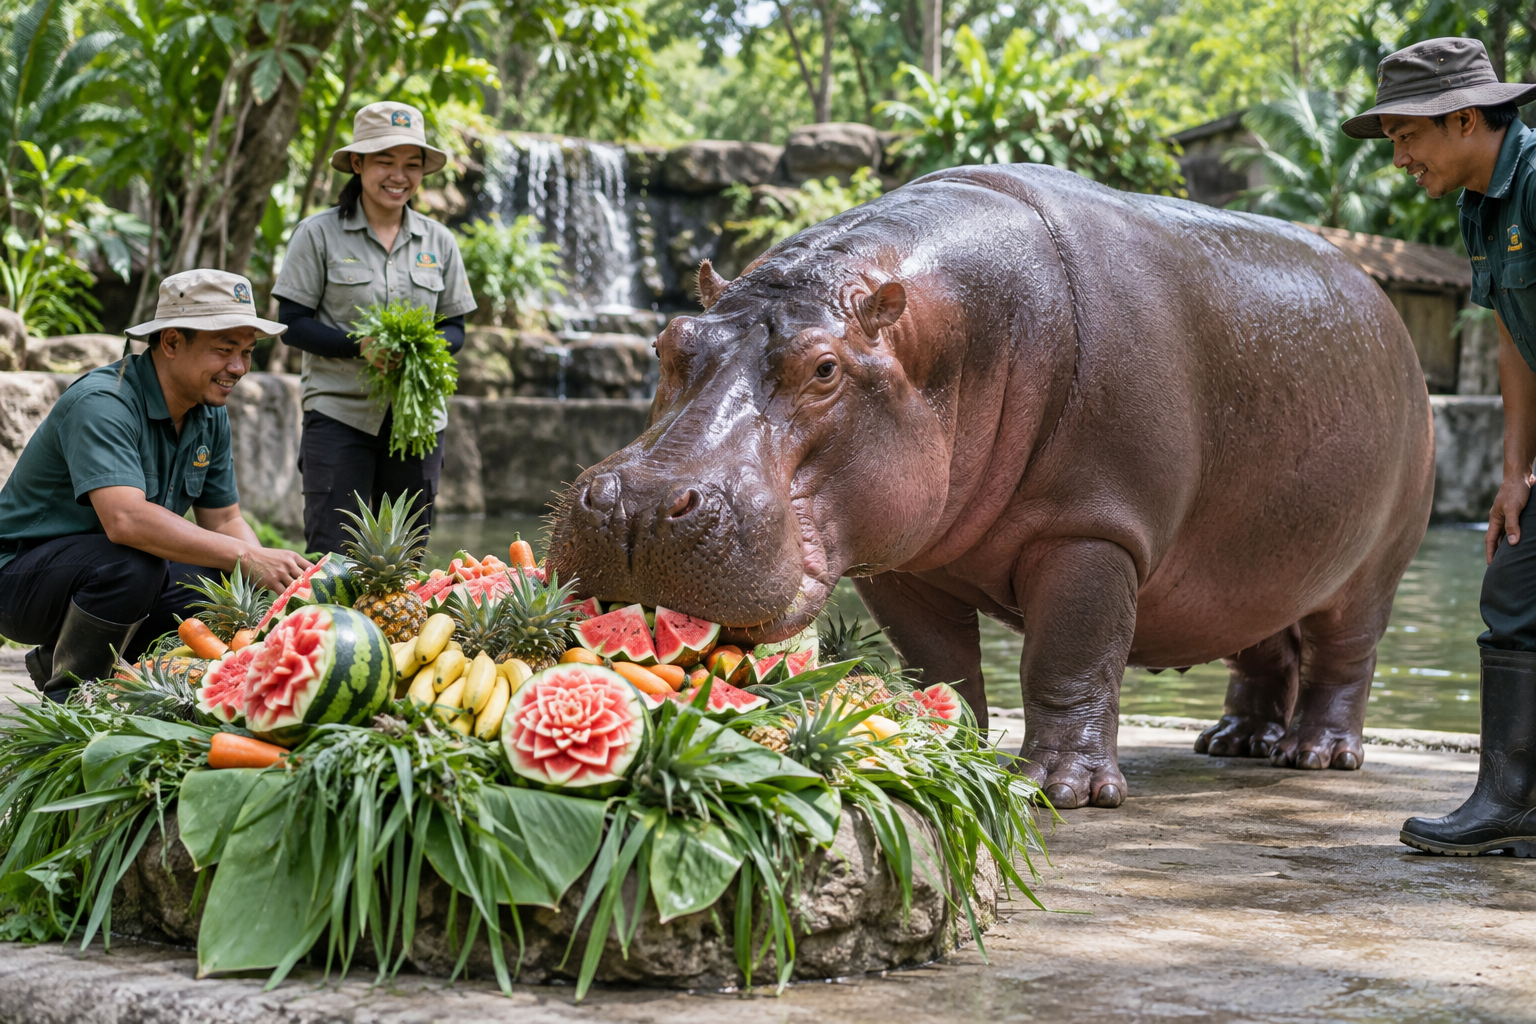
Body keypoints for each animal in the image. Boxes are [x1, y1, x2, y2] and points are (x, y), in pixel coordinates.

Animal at [549, 163, 1435, 809]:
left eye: (825, 368)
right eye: (669, 340)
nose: (635, 505)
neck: (944, 338)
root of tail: (1390, 311)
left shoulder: (1093, 530)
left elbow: (1069, 659)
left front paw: (1061, 790)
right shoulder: (899, 554)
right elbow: (938, 664)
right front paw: (947, 747)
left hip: (1372, 566)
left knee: (1342, 658)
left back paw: (1317, 755)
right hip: (1258, 561)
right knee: (1261, 647)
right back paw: (1234, 742)